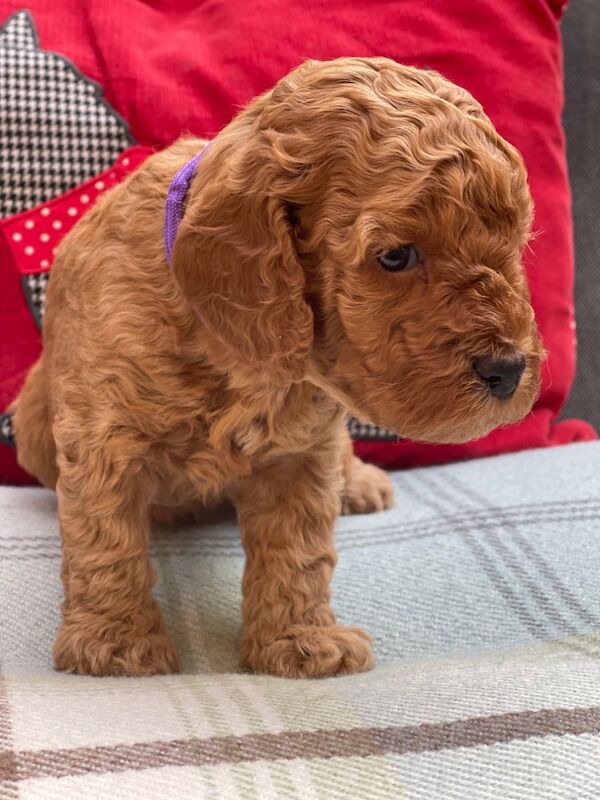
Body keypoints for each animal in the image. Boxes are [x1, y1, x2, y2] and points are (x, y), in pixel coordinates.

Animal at [11, 59, 540, 680]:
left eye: (516, 243)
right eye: (395, 256)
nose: (510, 369)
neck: (240, 357)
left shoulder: (301, 449)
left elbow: (298, 550)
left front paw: (300, 642)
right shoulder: (103, 435)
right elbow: (106, 537)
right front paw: (114, 644)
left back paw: (359, 482)